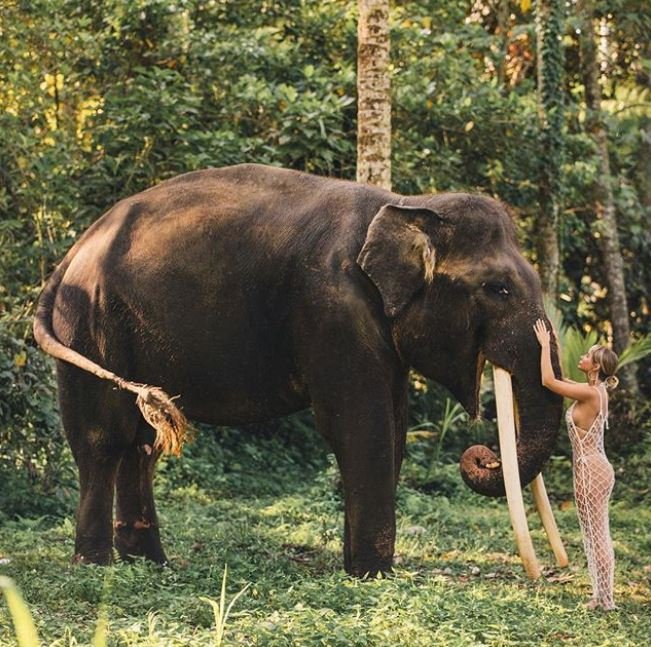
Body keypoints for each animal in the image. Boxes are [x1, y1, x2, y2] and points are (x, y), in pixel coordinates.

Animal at [33, 163, 564, 576]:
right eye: (497, 289)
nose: (483, 456)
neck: (408, 205)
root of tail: (69, 256)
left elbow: (393, 428)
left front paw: (364, 568)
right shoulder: (332, 309)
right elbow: (360, 426)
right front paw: (371, 575)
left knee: (142, 442)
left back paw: (150, 564)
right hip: (90, 324)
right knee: (104, 440)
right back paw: (95, 564)